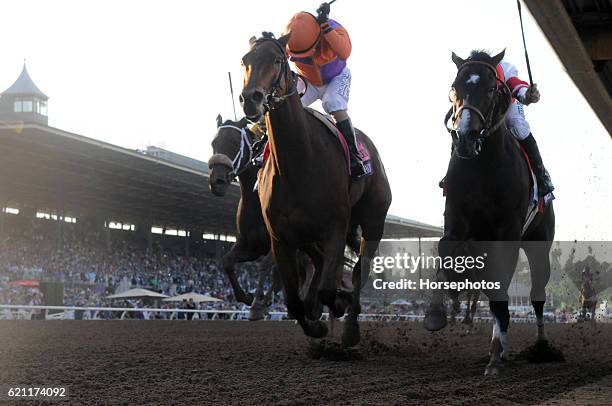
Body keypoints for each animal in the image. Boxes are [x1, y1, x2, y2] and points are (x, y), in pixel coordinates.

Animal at [209, 115, 278, 320]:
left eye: (234, 143)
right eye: (214, 143)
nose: (217, 182)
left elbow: (267, 265)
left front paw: (258, 304)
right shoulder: (250, 246)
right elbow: (226, 262)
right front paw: (248, 297)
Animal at [239, 34, 392, 346]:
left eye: (277, 59)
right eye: (244, 61)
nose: (251, 99)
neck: (299, 163)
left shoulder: (335, 227)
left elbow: (328, 289)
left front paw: (337, 306)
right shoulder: (280, 237)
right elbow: (293, 300)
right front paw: (314, 322)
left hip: (373, 222)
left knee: (360, 270)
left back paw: (350, 327)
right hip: (305, 233)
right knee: (320, 262)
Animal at [426, 50, 556, 374]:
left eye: (489, 89)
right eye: (455, 87)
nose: (465, 137)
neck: (481, 165)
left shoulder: (507, 230)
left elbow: (501, 288)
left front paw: (496, 356)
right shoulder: (456, 217)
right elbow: (445, 248)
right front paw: (439, 308)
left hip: (539, 243)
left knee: (537, 296)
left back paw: (540, 346)